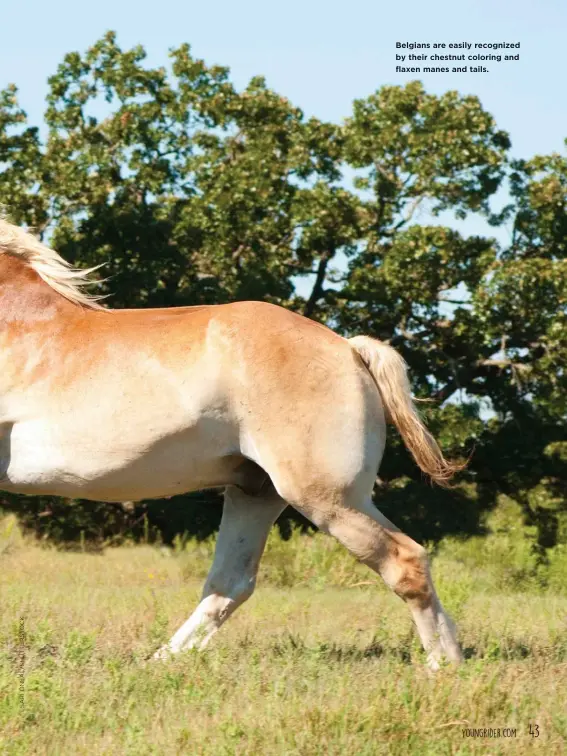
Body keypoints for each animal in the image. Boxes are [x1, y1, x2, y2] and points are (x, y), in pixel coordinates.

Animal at [0, 217, 466, 668]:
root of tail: (349, 349)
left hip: (329, 499)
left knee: (406, 563)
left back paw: (445, 665)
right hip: (256, 493)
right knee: (230, 583)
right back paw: (160, 662)